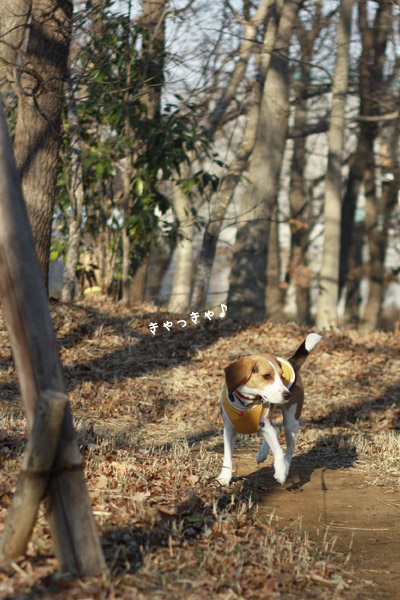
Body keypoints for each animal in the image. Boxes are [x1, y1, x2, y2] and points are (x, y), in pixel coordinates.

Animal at [217, 332, 320, 488]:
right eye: (267, 376)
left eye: (281, 376)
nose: (287, 395)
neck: (246, 404)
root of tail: (291, 362)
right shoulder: (229, 429)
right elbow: (228, 454)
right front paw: (225, 476)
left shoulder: (265, 424)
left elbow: (278, 450)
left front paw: (281, 472)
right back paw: (263, 453)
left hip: (291, 421)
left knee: (289, 447)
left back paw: (285, 467)